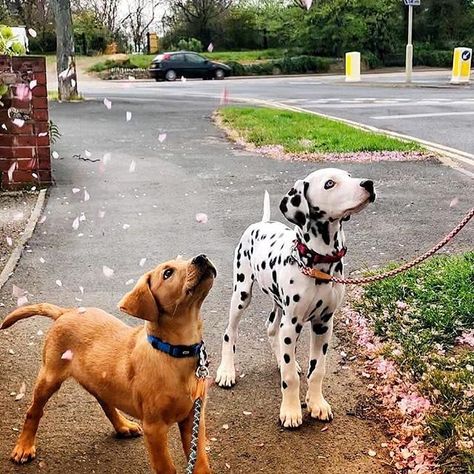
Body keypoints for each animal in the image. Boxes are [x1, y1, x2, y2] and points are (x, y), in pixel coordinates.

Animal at [0, 256, 216, 474]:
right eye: (168, 273)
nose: (202, 257)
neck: (174, 352)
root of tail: (66, 312)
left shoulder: (194, 418)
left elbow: (200, 462)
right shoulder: (154, 427)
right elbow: (166, 468)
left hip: (99, 377)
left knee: (104, 400)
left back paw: (123, 425)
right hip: (49, 377)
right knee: (34, 411)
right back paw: (24, 446)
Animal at [217, 168, 376, 428]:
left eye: (349, 175)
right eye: (329, 183)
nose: (369, 184)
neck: (318, 262)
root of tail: (262, 222)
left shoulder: (323, 324)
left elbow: (318, 369)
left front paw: (317, 403)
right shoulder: (292, 324)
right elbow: (290, 378)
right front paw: (291, 411)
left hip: (279, 305)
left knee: (272, 328)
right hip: (241, 293)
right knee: (230, 333)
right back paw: (226, 371)